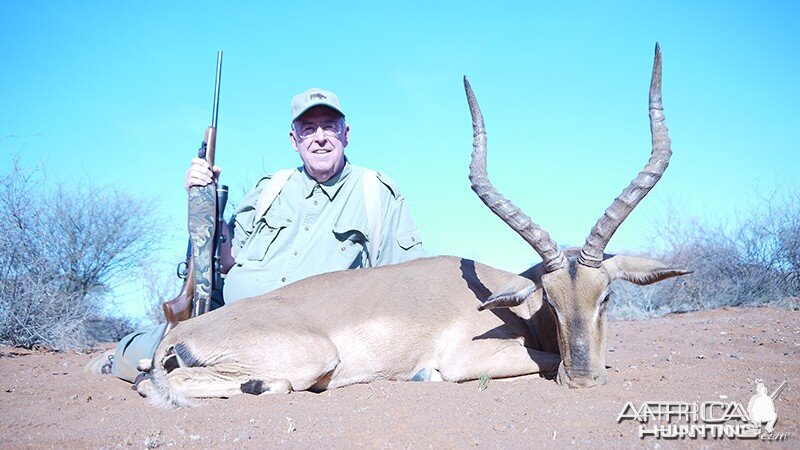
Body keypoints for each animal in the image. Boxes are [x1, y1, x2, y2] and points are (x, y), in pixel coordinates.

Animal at [142, 45, 688, 408]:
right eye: (549, 300)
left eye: (607, 296)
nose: (584, 381)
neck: (510, 310)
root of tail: (180, 331)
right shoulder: (471, 360)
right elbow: (537, 361)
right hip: (309, 359)